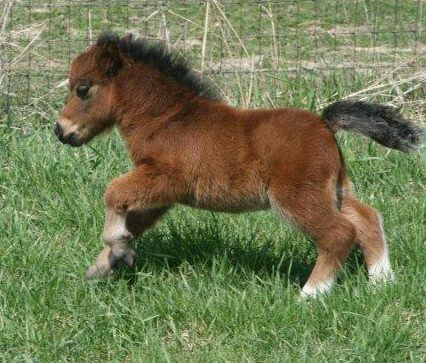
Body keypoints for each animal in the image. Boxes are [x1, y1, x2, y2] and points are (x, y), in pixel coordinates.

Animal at [54, 32, 422, 298]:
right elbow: (134, 220)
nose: (61, 130)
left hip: (296, 197)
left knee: (339, 233)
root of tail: (324, 124)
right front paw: (104, 265)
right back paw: (382, 282)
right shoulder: (161, 194)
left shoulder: (166, 179)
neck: (167, 118)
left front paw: (115, 247)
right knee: (367, 218)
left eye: (82, 89)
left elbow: (114, 193)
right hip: (334, 189)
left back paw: (309, 295)